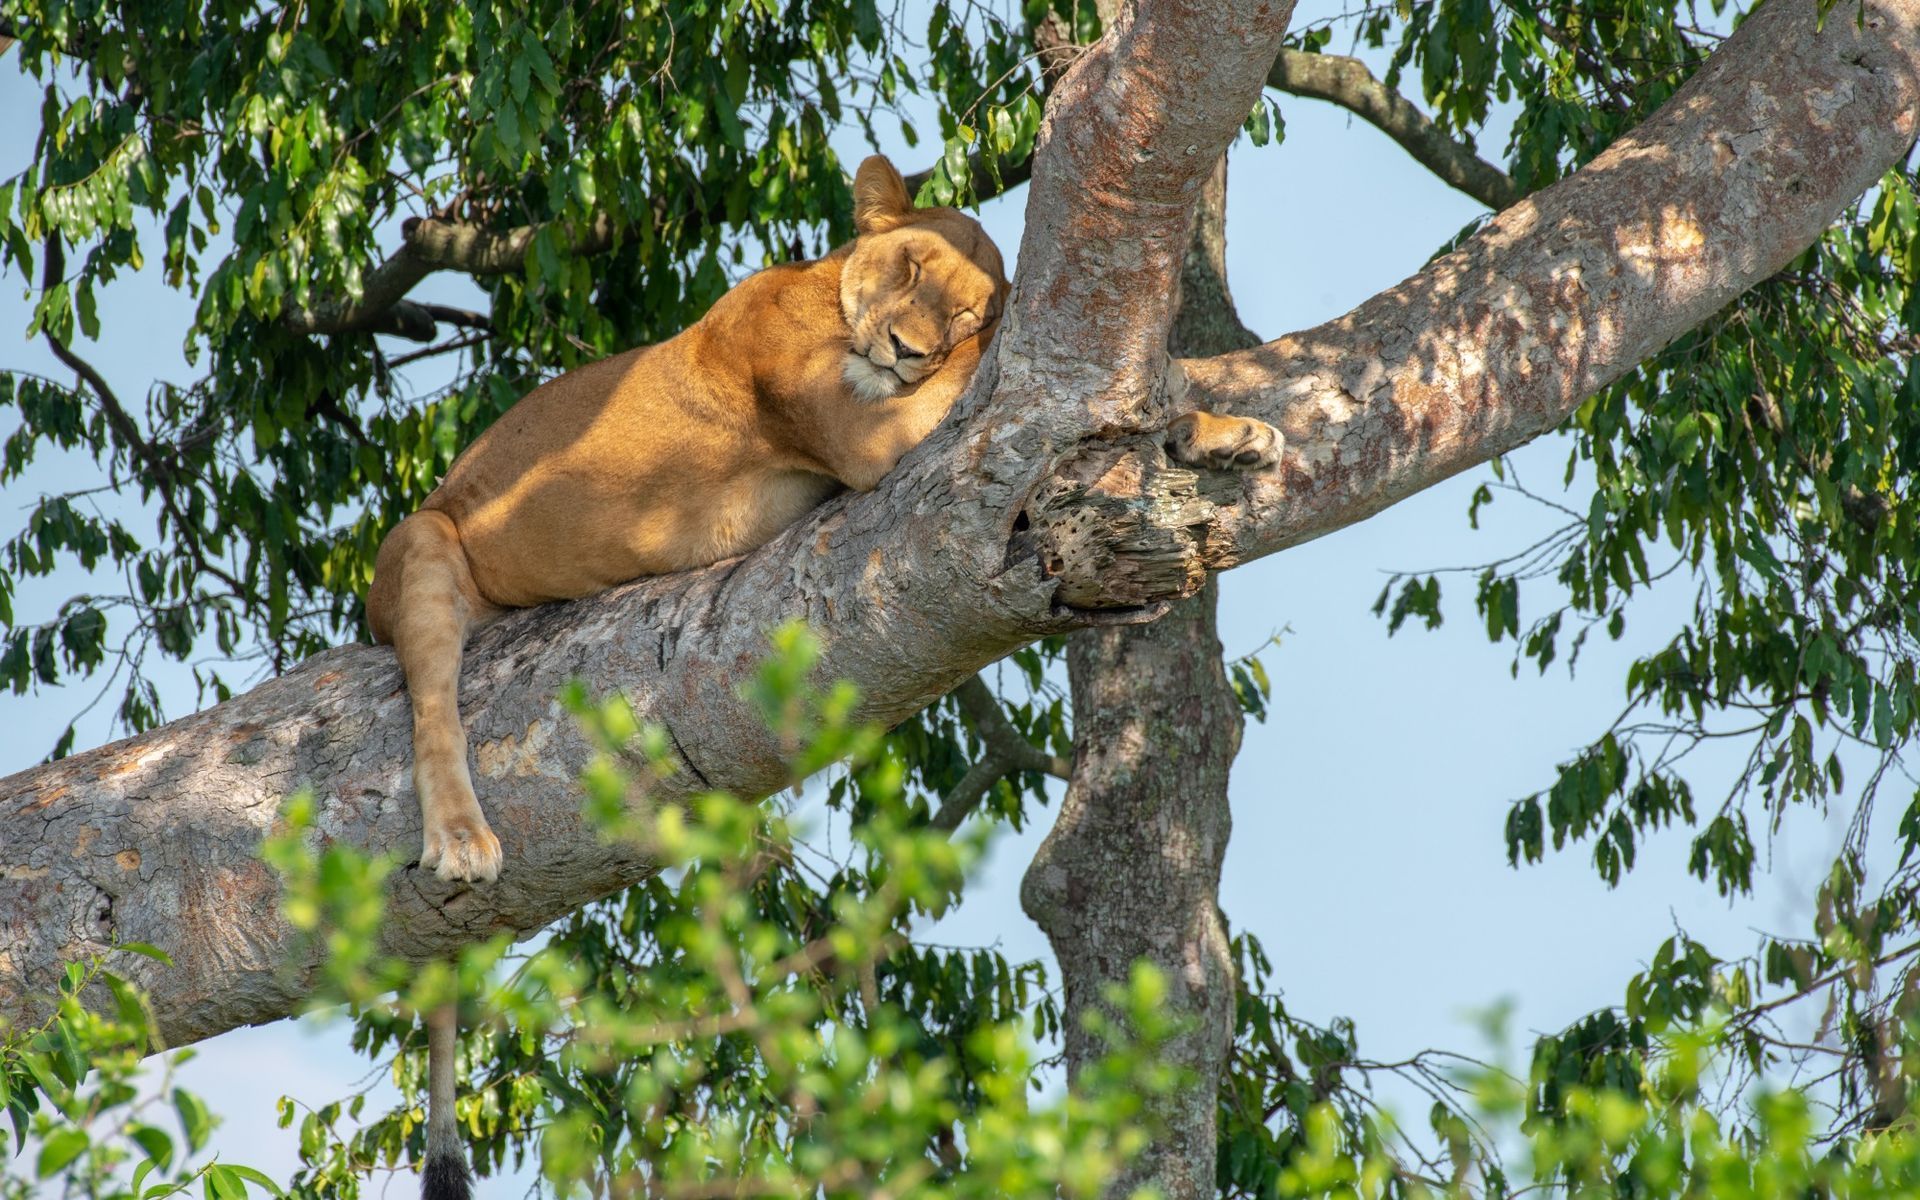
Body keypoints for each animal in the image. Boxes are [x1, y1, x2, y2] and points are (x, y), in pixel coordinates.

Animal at [367, 154, 1281, 1200]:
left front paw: (1226, 428)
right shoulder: (866, 437)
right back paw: (462, 838)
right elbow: (1010, 381)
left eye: (960, 308)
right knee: (433, 709)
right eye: (913, 267)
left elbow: (1110, 407)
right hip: (423, 543)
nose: (909, 348)